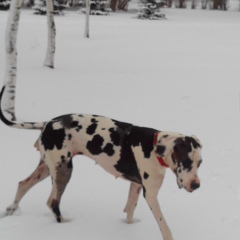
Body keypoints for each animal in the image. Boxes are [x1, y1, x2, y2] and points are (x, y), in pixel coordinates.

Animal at [0, 86, 202, 240]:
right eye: (186, 161)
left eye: (200, 163)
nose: (196, 185)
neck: (153, 147)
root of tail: (48, 122)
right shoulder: (151, 194)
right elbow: (164, 226)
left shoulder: (135, 186)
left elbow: (130, 210)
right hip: (63, 170)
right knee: (52, 202)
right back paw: (64, 226)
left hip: (46, 168)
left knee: (23, 184)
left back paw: (11, 211)